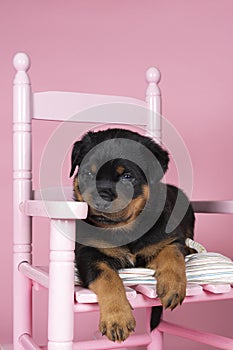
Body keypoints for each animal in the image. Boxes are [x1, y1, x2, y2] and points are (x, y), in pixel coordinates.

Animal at [69, 128, 195, 342]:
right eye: (88, 173)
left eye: (127, 176)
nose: (101, 199)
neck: (124, 229)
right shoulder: (89, 254)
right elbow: (108, 278)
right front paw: (117, 319)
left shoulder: (168, 238)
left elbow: (173, 253)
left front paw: (173, 286)